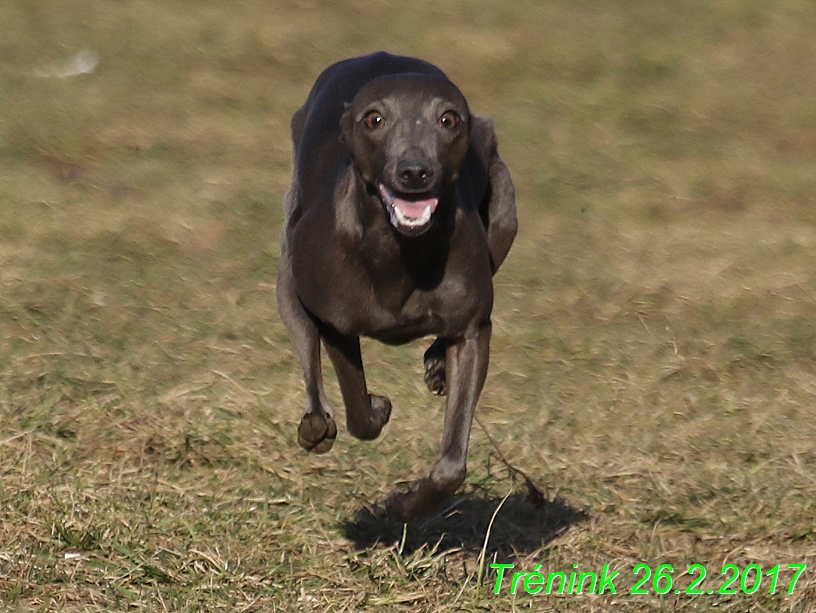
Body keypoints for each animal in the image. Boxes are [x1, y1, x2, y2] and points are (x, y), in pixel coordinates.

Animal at [278, 53, 512, 520]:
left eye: (447, 118)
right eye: (375, 119)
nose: (415, 172)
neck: (399, 248)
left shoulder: (472, 331)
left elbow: (451, 466)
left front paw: (407, 505)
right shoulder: (337, 322)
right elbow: (357, 409)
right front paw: (375, 408)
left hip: (504, 210)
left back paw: (437, 363)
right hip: (288, 270)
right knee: (309, 360)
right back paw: (315, 424)